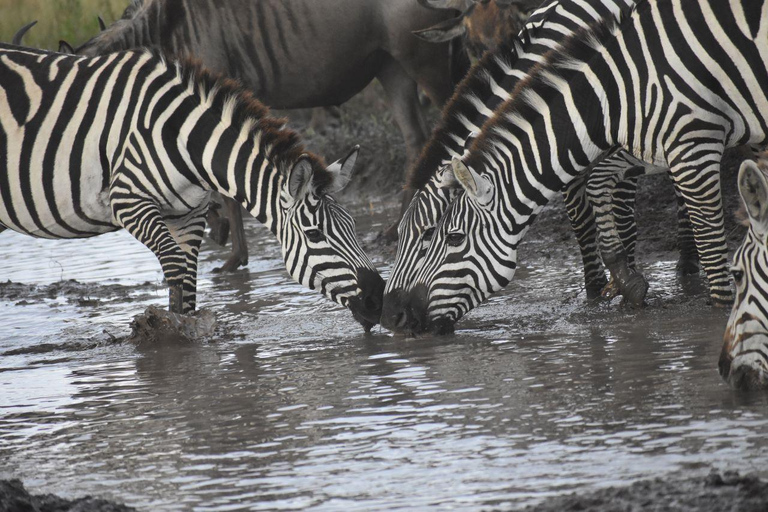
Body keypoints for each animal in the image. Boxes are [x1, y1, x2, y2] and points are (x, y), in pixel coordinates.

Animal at [0, 46, 384, 330]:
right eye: (315, 234)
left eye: (353, 226)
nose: (378, 300)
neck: (183, 140)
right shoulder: (128, 201)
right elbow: (174, 270)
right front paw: (171, 337)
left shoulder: (189, 213)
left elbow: (186, 279)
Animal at [388, 0, 768, 334]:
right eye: (470, 45)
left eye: (435, 236)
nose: (394, 316)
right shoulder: (627, 148)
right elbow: (589, 213)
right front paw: (607, 288)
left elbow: (621, 217)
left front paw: (624, 291)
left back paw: (688, 263)